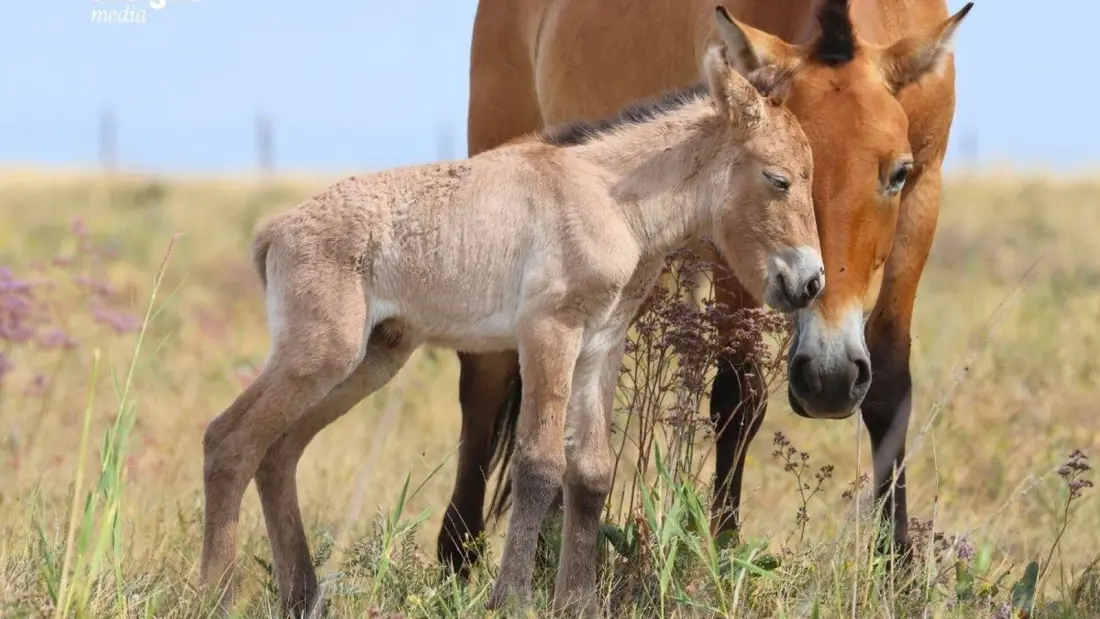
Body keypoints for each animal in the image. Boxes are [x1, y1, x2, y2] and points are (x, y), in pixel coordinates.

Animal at [199, 29, 825, 616]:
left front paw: (578, 603)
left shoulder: (600, 344)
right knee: (229, 441)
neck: (609, 199)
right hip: (321, 355)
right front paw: (512, 599)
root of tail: (276, 229)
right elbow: (540, 464)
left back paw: (301, 596)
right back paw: (216, 594)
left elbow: (591, 472)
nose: (810, 283)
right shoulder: (549, 332)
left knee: (278, 452)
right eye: (779, 179)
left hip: (370, 360)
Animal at [437, 0, 975, 577]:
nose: (828, 380)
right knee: (486, 380)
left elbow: (890, 389)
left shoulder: (922, 202)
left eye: (897, 174)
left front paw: (898, 564)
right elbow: (738, 396)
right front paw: (725, 550)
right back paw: (460, 553)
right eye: (775, 177)